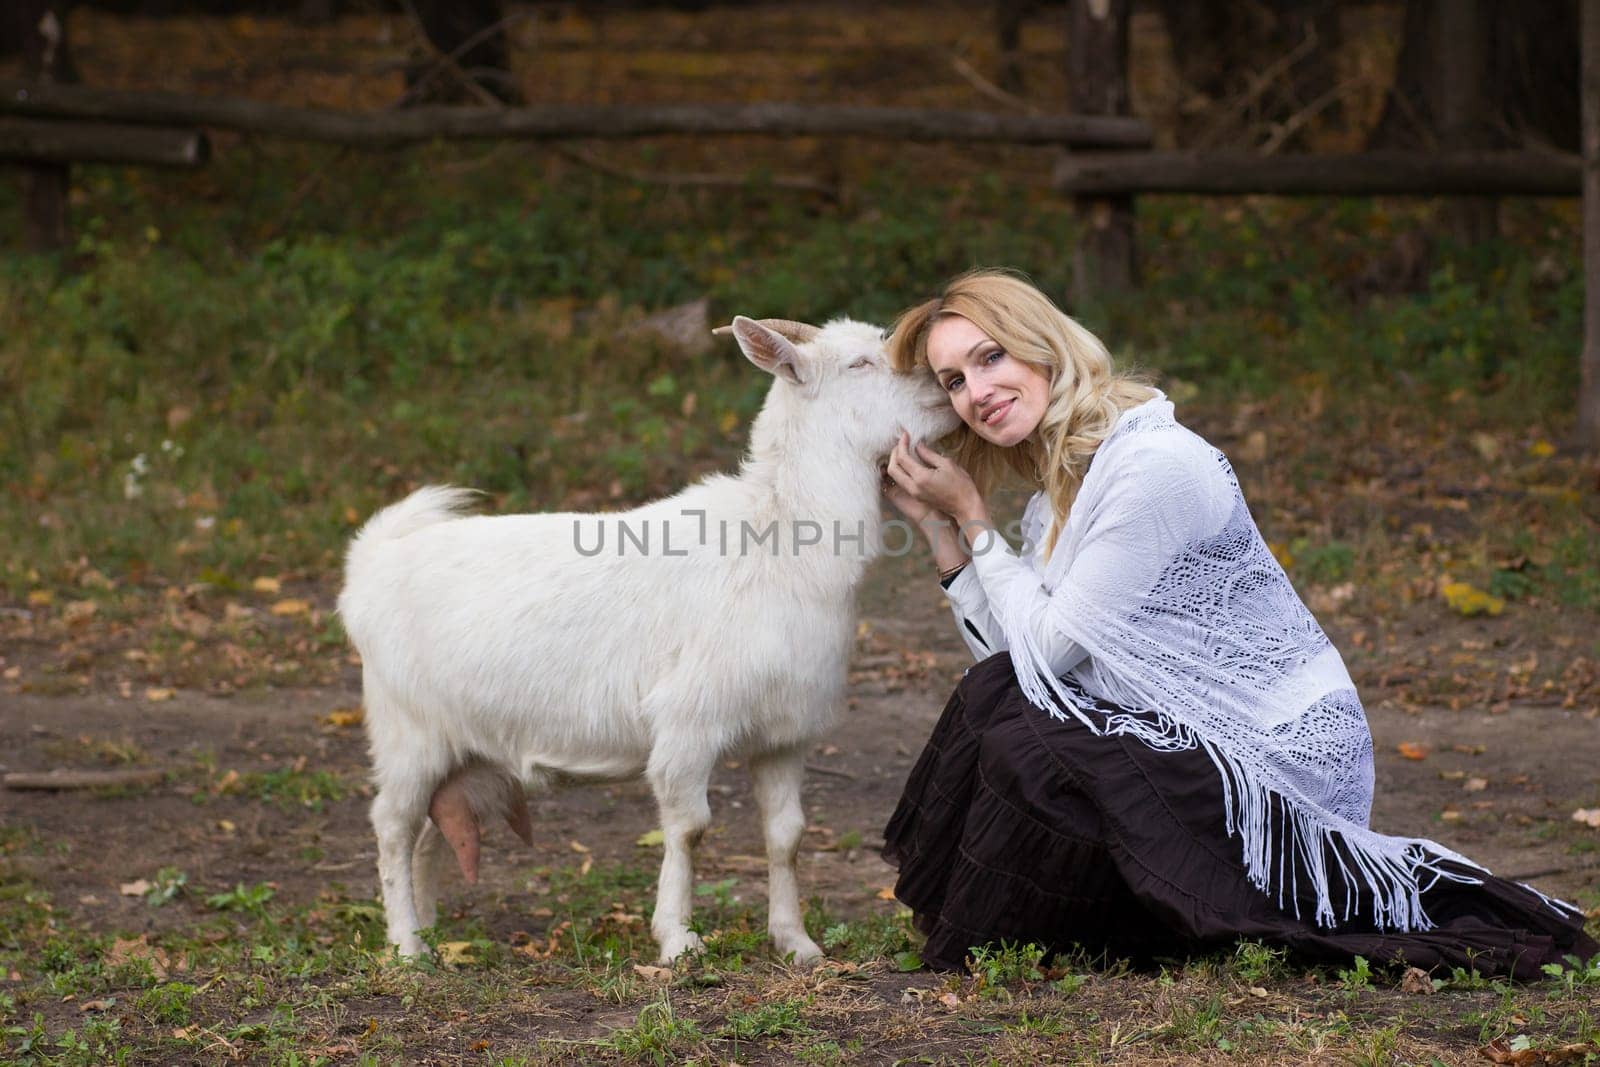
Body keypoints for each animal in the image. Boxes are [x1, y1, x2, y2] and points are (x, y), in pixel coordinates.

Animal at [339, 313, 953, 966]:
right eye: (858, 364)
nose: (943, 387)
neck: (775, 537)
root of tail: (370, 564)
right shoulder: (687, 723)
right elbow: (689, 828)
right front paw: (678, 939)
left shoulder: (786, 733)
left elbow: (786, 835)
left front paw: (796, 942)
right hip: (407, 731)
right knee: (393, 826)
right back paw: (407, 946)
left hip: (457, 745)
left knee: (430, 833)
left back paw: (429, 932)